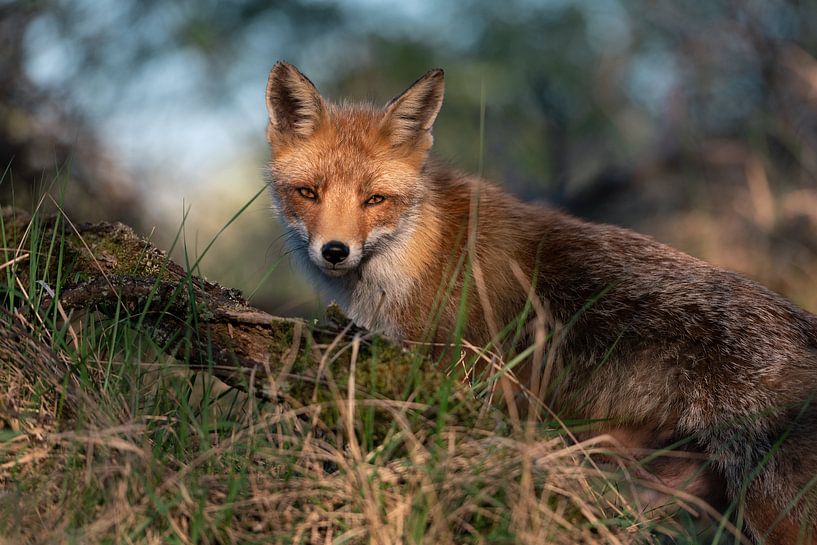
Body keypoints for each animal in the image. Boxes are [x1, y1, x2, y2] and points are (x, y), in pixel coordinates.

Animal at [264, 60, 817, 544]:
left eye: (374, 200)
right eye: (308, 193)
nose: (335, 251)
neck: (419, 256)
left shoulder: (454, 371)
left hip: (774, 512)